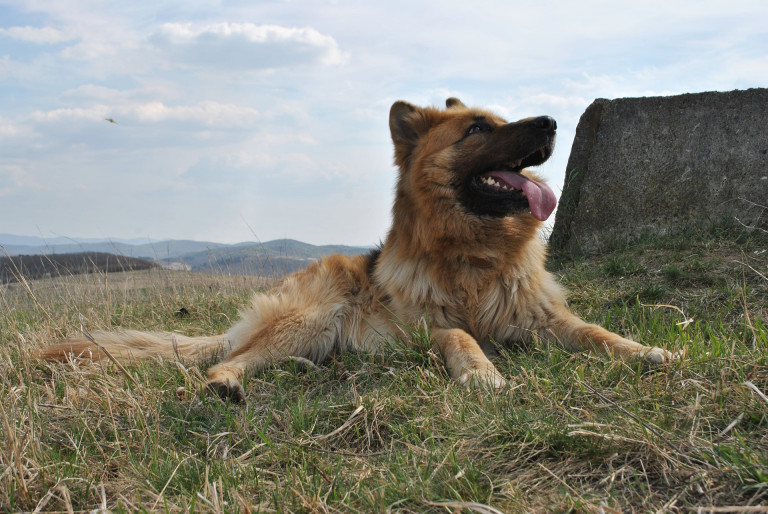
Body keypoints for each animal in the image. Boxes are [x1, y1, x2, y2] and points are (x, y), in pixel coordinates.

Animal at [40, 97, 672, 400]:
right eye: (477, 129)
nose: (551, 122)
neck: (475, 258)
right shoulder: (431, 328)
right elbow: (463, 337)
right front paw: (481, 373)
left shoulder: (542, 315)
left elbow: (594, 331)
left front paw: (642, 350)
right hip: (313, 315)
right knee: (228, 360)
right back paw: (226, 385)